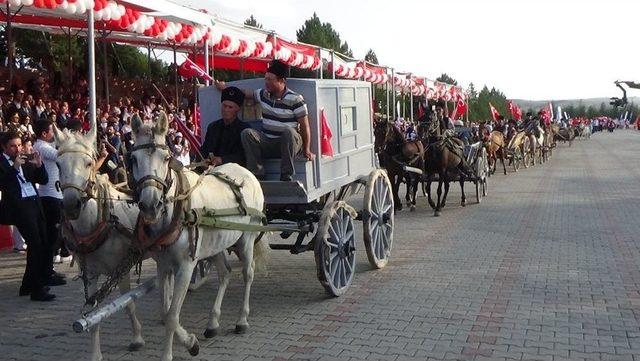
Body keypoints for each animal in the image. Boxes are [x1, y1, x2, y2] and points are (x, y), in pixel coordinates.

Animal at [53, 124, 146, 360]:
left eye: (88, 163)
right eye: (57, 163)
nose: (71, 205)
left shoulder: (122, 269)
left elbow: (128, 303)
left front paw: (137, 338)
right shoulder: (90, 274)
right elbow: (93, 315)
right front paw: (95, 354)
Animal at [130, 111, 268, 358]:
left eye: (166, 158)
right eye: (134, 159)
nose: (150, 205)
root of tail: (247, 173)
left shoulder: (185, 267)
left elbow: (172, 316)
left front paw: (170, 354)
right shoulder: (163, 266)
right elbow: (166, 313)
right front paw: (190, 341)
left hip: (246, 240)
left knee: (248, 274)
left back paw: (242, 320)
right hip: (215, 245)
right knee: (225, 273)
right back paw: (212, 323)